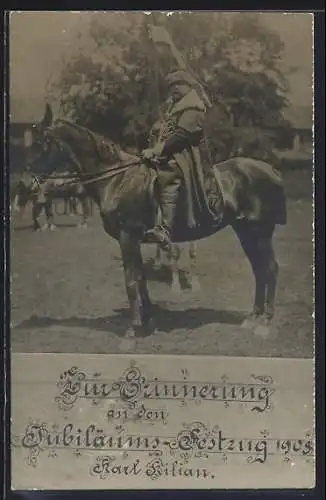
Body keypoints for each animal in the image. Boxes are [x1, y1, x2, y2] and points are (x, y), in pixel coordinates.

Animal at [29, 106, 286, 340]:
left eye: (43, 142)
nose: (31, 183)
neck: (118, 179)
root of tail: (269, 169)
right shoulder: (133, 241)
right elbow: (141, 280)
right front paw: (149, 322)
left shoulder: (128, 237)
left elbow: (131, 282)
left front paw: (133, 329)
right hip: (245, 231)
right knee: (259, 269)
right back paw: (253, 318)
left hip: (260, 231)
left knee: (270, 268)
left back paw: (265, 322)